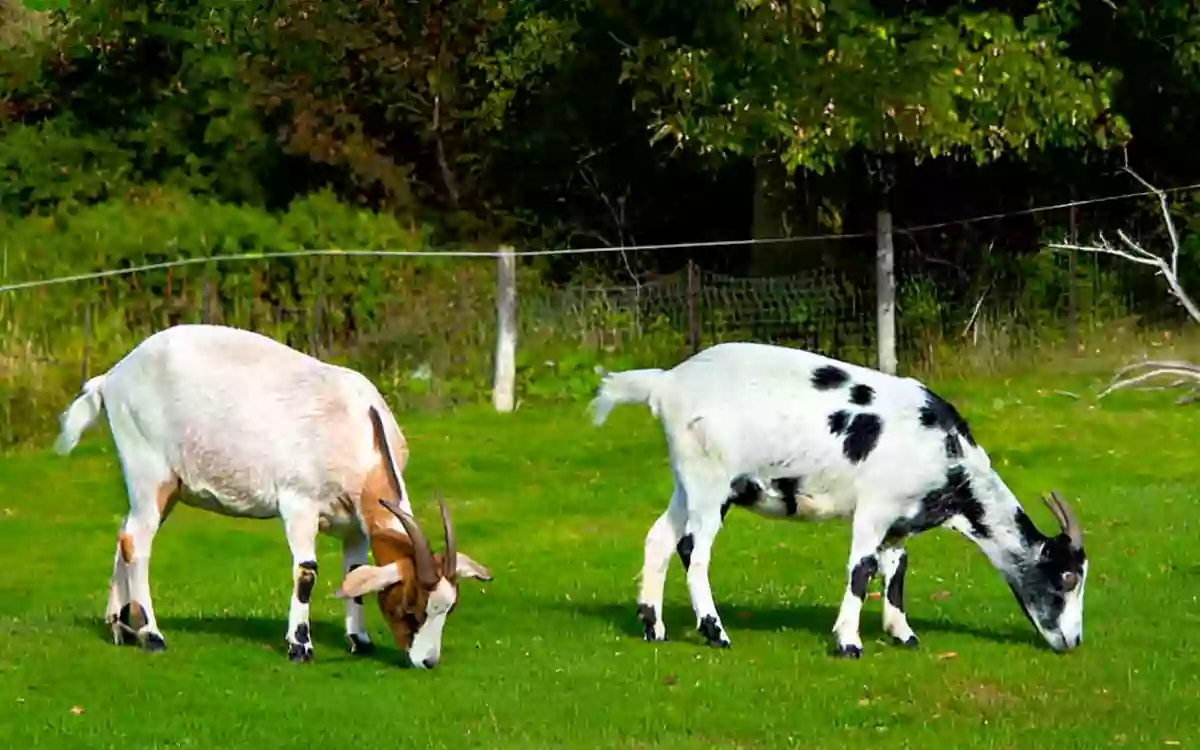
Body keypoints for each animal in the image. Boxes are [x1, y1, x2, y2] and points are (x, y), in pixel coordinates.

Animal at [54, 323, 492, 669]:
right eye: (409, 608)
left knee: (125, 535)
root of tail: (111, 377)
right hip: (150, 473)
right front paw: (300, 646)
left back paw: (118, 627)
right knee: (137, 542)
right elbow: (307, 572)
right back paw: (151, 635)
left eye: (448, 608)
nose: (427, 661)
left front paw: (359, 641)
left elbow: (353, 574)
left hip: (165, 489)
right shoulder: (299, 504)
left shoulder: (353, 524)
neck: (358, 428)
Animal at [590, 341, 1088, 657]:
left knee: (660, 538)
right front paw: (848, 643)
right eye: (1066, 577)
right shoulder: (874, 509)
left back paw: (654, 628)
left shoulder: (899, 523)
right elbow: (861, 569)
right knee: (694, 549)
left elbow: (896, 570)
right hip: (710, 478)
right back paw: (716, 633)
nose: (1074, 641)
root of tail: (664, 384)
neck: (948, 454)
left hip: (690, 481)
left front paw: (903, 635)